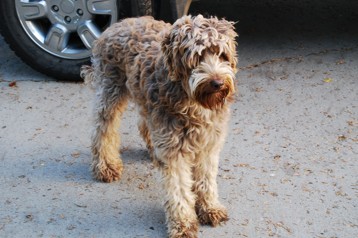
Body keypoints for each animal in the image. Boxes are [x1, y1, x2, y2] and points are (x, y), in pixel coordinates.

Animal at [81, 14, 238, 238]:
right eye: (196, 57)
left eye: (221, 54)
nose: (217, 83)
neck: (192, 102)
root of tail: (120, 22)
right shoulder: (174, 150)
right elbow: (178, 188)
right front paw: (183, 223)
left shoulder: (209, 144)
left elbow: (206, 178)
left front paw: (209, 208)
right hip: (111, 88)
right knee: (103, 128)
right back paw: (105, 166)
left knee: (143, 124)